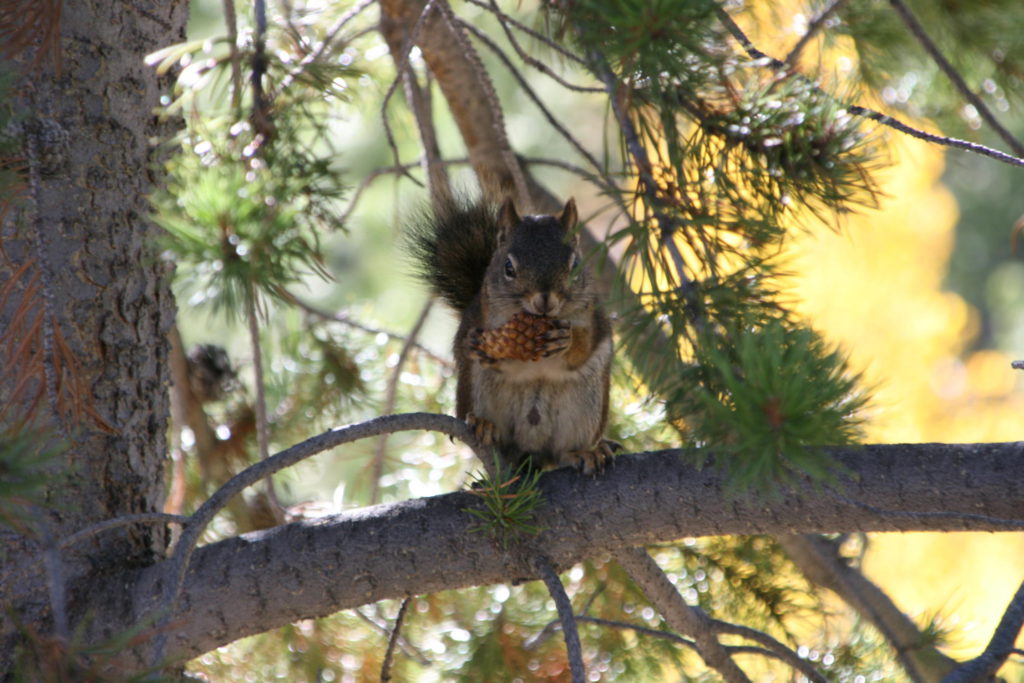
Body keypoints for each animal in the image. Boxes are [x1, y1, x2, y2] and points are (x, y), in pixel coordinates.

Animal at [408, 197, 614, 474]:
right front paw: (490, 350)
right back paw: (484, 425)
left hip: (586, 407)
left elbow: (583, 349)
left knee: (561, 454)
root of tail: (531, 451)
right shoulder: (481, 318)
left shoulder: (593, 320)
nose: (545, 300)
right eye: (508, 267)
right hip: (476, 389)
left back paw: (583, 453)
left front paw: (567, 342)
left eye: (575, 265)